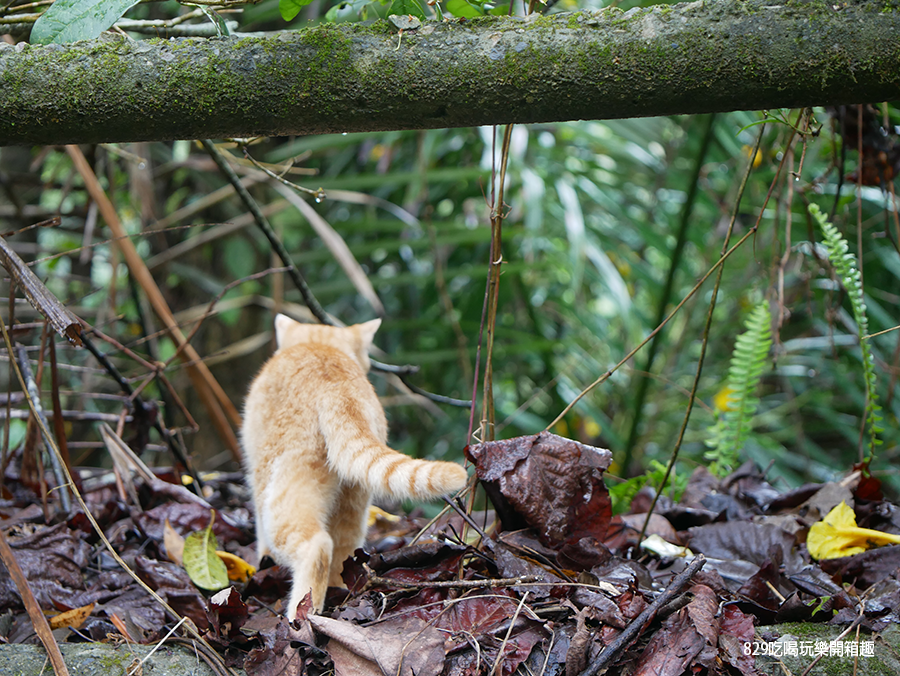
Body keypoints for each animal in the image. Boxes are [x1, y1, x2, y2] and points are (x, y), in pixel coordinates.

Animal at [243, 314, 468, 616]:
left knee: (317, 545)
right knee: (344, 550)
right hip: (355, 495)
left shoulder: (259, 477)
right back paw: (339, 590)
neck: (320, 344)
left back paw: (301, 613)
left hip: (285, 488)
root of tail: (338, 386)